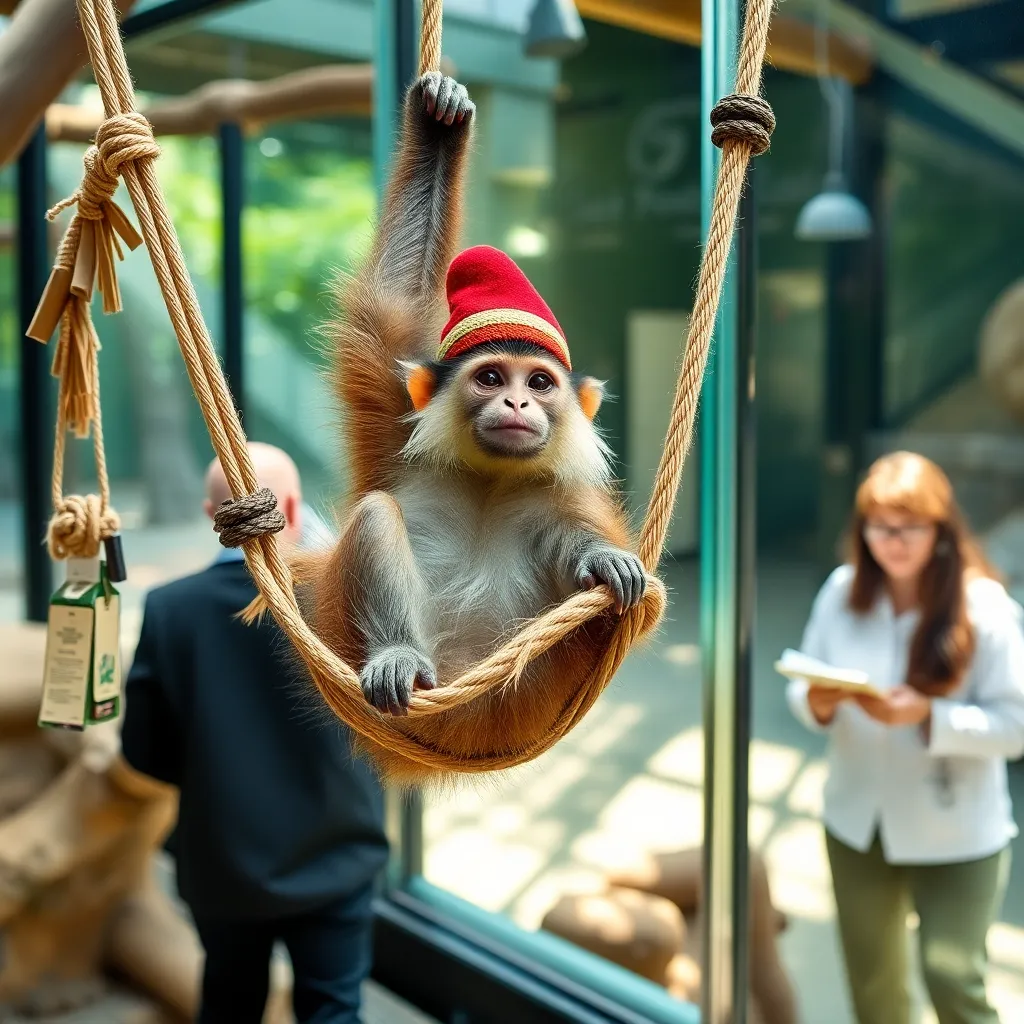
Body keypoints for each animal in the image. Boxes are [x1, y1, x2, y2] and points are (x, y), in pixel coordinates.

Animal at [249, 70, 653, 785]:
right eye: (491, 377)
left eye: (539, 383)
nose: (517, 404)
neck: (489, 482)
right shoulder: (396, 428)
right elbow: (398, 298)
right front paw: (438, 123)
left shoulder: (555, 497)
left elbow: (578, 540)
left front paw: (602, 560)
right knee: (377, 516)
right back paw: (397, 658)